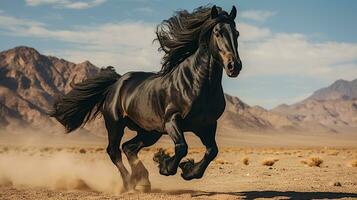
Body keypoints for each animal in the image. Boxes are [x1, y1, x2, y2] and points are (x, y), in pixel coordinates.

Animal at [50, 5, 241, 194]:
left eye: (237, 33)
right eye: (218, 32)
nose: (234, 66)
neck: (196, 83)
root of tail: (116, 84)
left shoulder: (207, 125)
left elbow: (212, 151)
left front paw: (187, 171)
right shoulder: (172, 121)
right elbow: (182, 147)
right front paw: (165, 166)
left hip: (149, 131)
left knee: (129, 147)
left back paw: (142, 181)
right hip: (115, 124)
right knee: (114, 151)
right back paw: (129, 183)